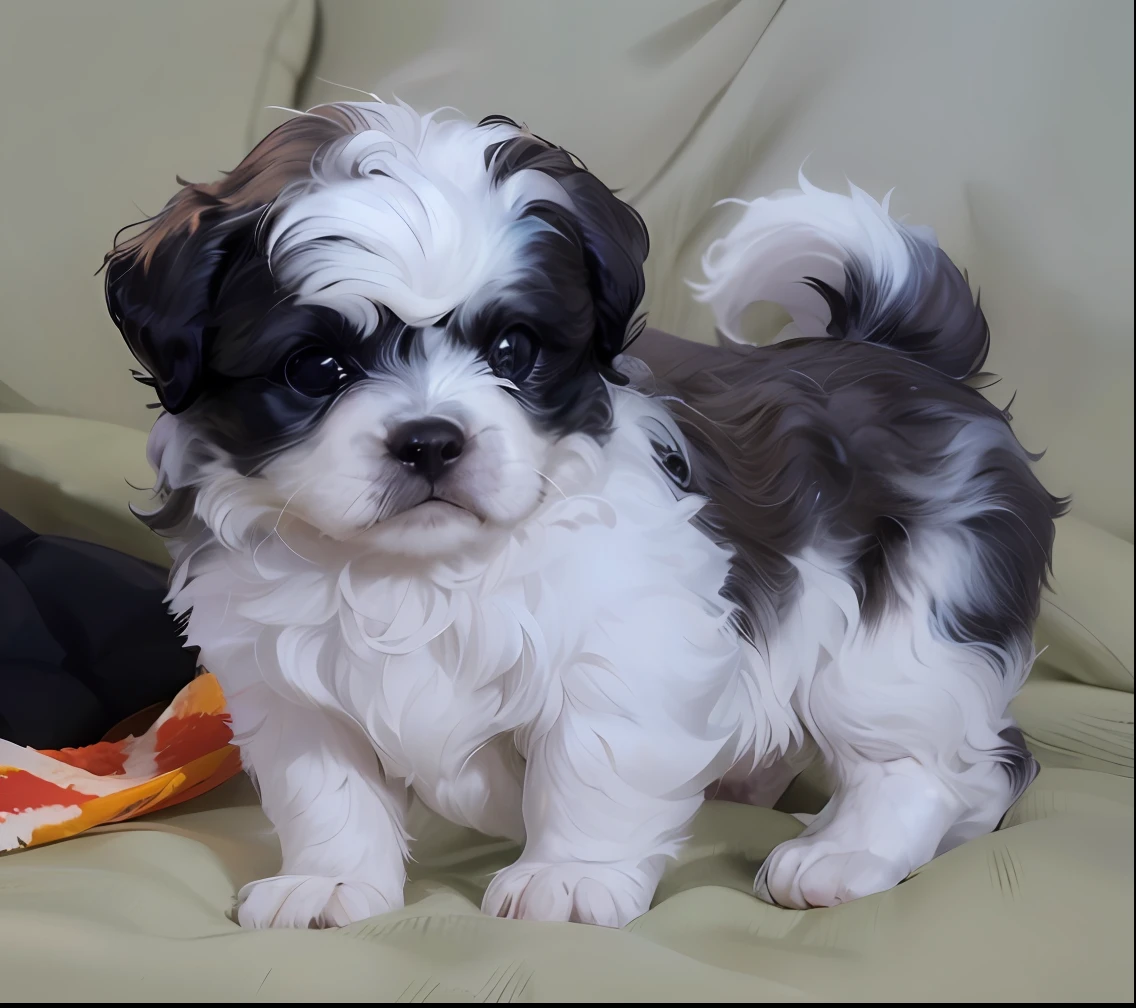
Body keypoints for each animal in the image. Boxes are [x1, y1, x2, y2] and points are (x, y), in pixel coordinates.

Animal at [106, 102, 1063, 931]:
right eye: (316, 368)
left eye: (511, 349)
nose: (430, 440)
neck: (420, 569)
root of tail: (901, 358)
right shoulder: (285, 685)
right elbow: (325, 787)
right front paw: (331, 880)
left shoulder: (631, 642)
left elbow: (590, 763)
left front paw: (568, 875)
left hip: (904, 627)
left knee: (934, 761)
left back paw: (850, 852)